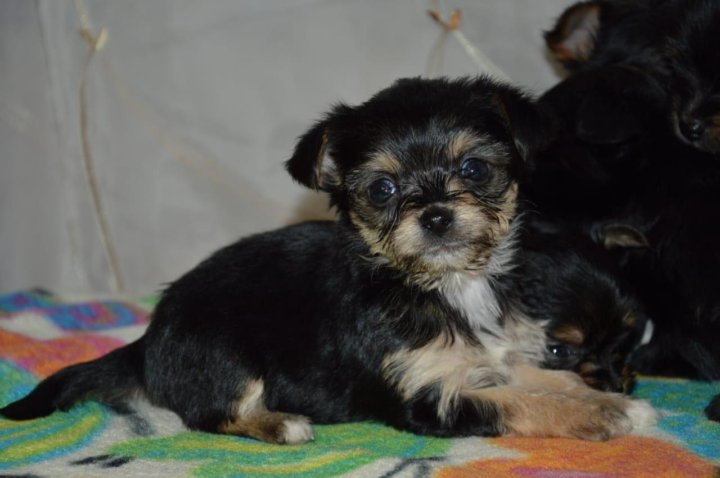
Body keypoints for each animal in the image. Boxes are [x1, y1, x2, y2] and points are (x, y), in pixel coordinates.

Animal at [0, 77, 656, 443]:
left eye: (474, 169)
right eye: (383, 190)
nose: (435, 215)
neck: (441, 285)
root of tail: (148, 341)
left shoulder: (488, 358)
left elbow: (544, 379)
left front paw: (612, 400)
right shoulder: (429, 396)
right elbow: (516, 403)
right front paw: (598, 420)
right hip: (226, 354)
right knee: (207, 412)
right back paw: (281, 423)